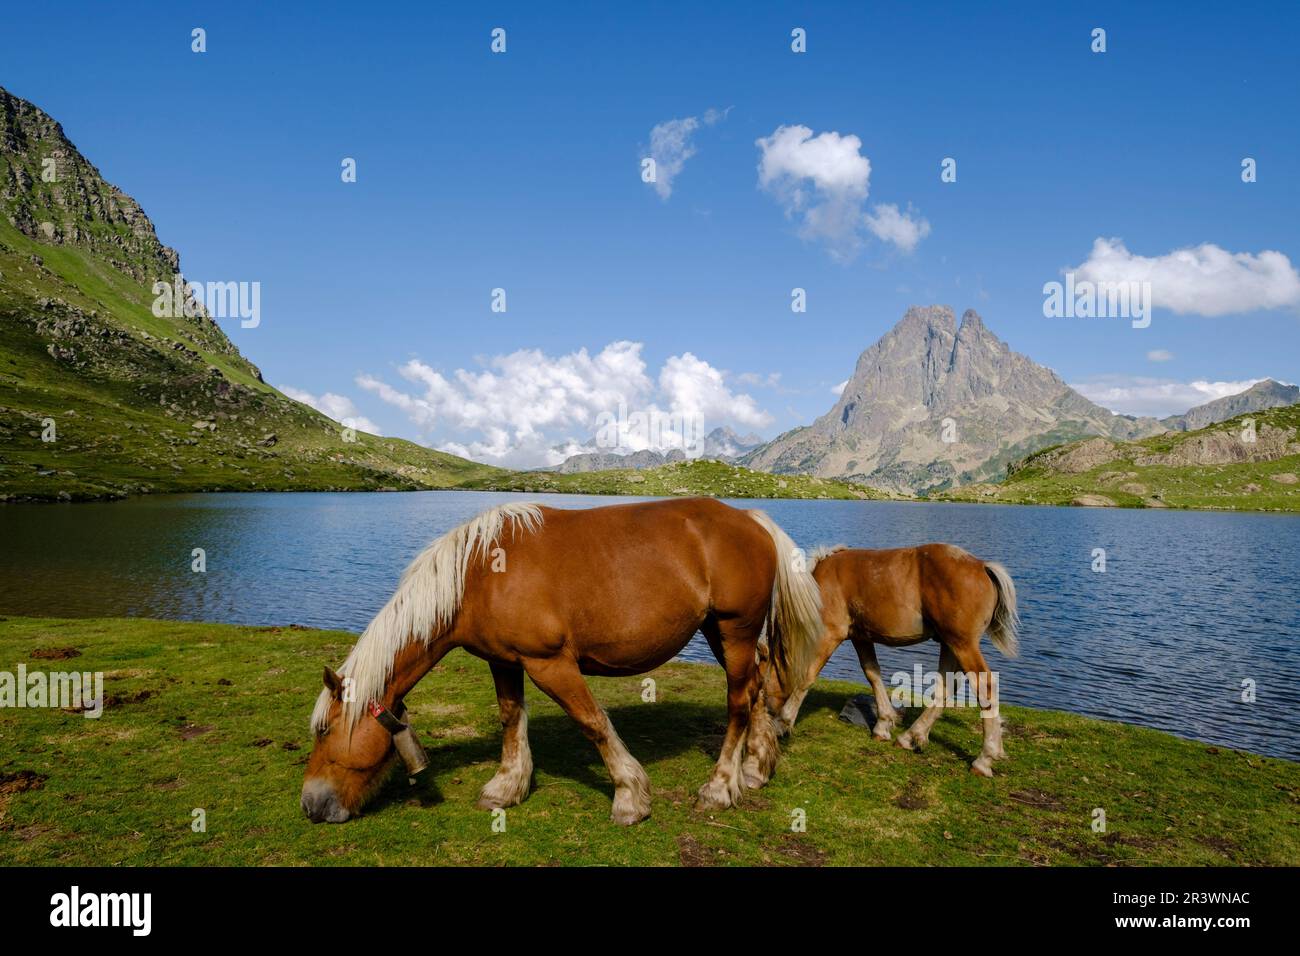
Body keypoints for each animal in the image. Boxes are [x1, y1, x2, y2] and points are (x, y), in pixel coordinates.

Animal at [301, 502, 821, 822]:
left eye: (324, 732)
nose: (310, 805)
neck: (478, 575)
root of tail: (750, 518)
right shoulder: (504, 662)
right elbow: (511, 718)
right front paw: (507, 786)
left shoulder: (549, 662)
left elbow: (592, 722)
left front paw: (630, 796)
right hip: (721, 633)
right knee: (753, 691)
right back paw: (755, 768)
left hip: (734, 630)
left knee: (737, 704)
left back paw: (719, 787)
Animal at [759, 546, 1024, 780]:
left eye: (763, 665)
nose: (767, 708)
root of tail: (982, 566)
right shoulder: (861, 637)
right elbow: (872, 674)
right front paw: (883, 724)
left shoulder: (830, 633)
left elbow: (808, 676)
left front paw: (783, 723)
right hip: (950, 644)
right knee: (945, 688)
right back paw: (911, 736)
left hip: (962, 644)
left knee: (985, 686)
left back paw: (985, 758)